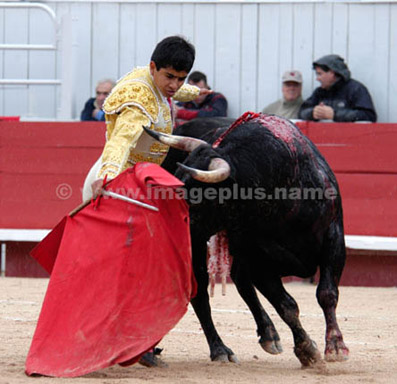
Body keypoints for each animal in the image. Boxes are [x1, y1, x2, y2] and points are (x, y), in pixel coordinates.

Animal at [144, 114, 348, 366]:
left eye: (197, 197)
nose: (165, 224)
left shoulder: (334, 237)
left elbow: (326, 293)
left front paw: (336, 346)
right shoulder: (258, 260)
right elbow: (287, 305)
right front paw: (307, 349)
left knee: (238, 279)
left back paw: (268, 335)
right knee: (202, 292)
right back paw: (220, 349)